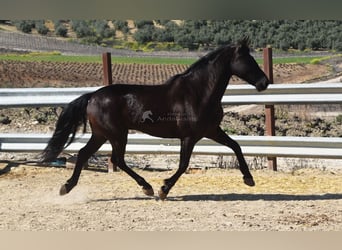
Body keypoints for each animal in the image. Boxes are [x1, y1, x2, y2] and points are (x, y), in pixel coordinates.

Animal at [41, 38, 270, 200]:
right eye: (248, 60)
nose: (264, 82)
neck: (199, 93)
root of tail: (92, 96)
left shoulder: (211, 131)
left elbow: (236, 146)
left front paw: (249, 179)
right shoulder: (189, 137)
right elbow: (183, 165)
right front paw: (163, 189)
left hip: (101, 134)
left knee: (84, 154)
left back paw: (66, 187)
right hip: (117, 134)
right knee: (117, 159)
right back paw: (147, 188)